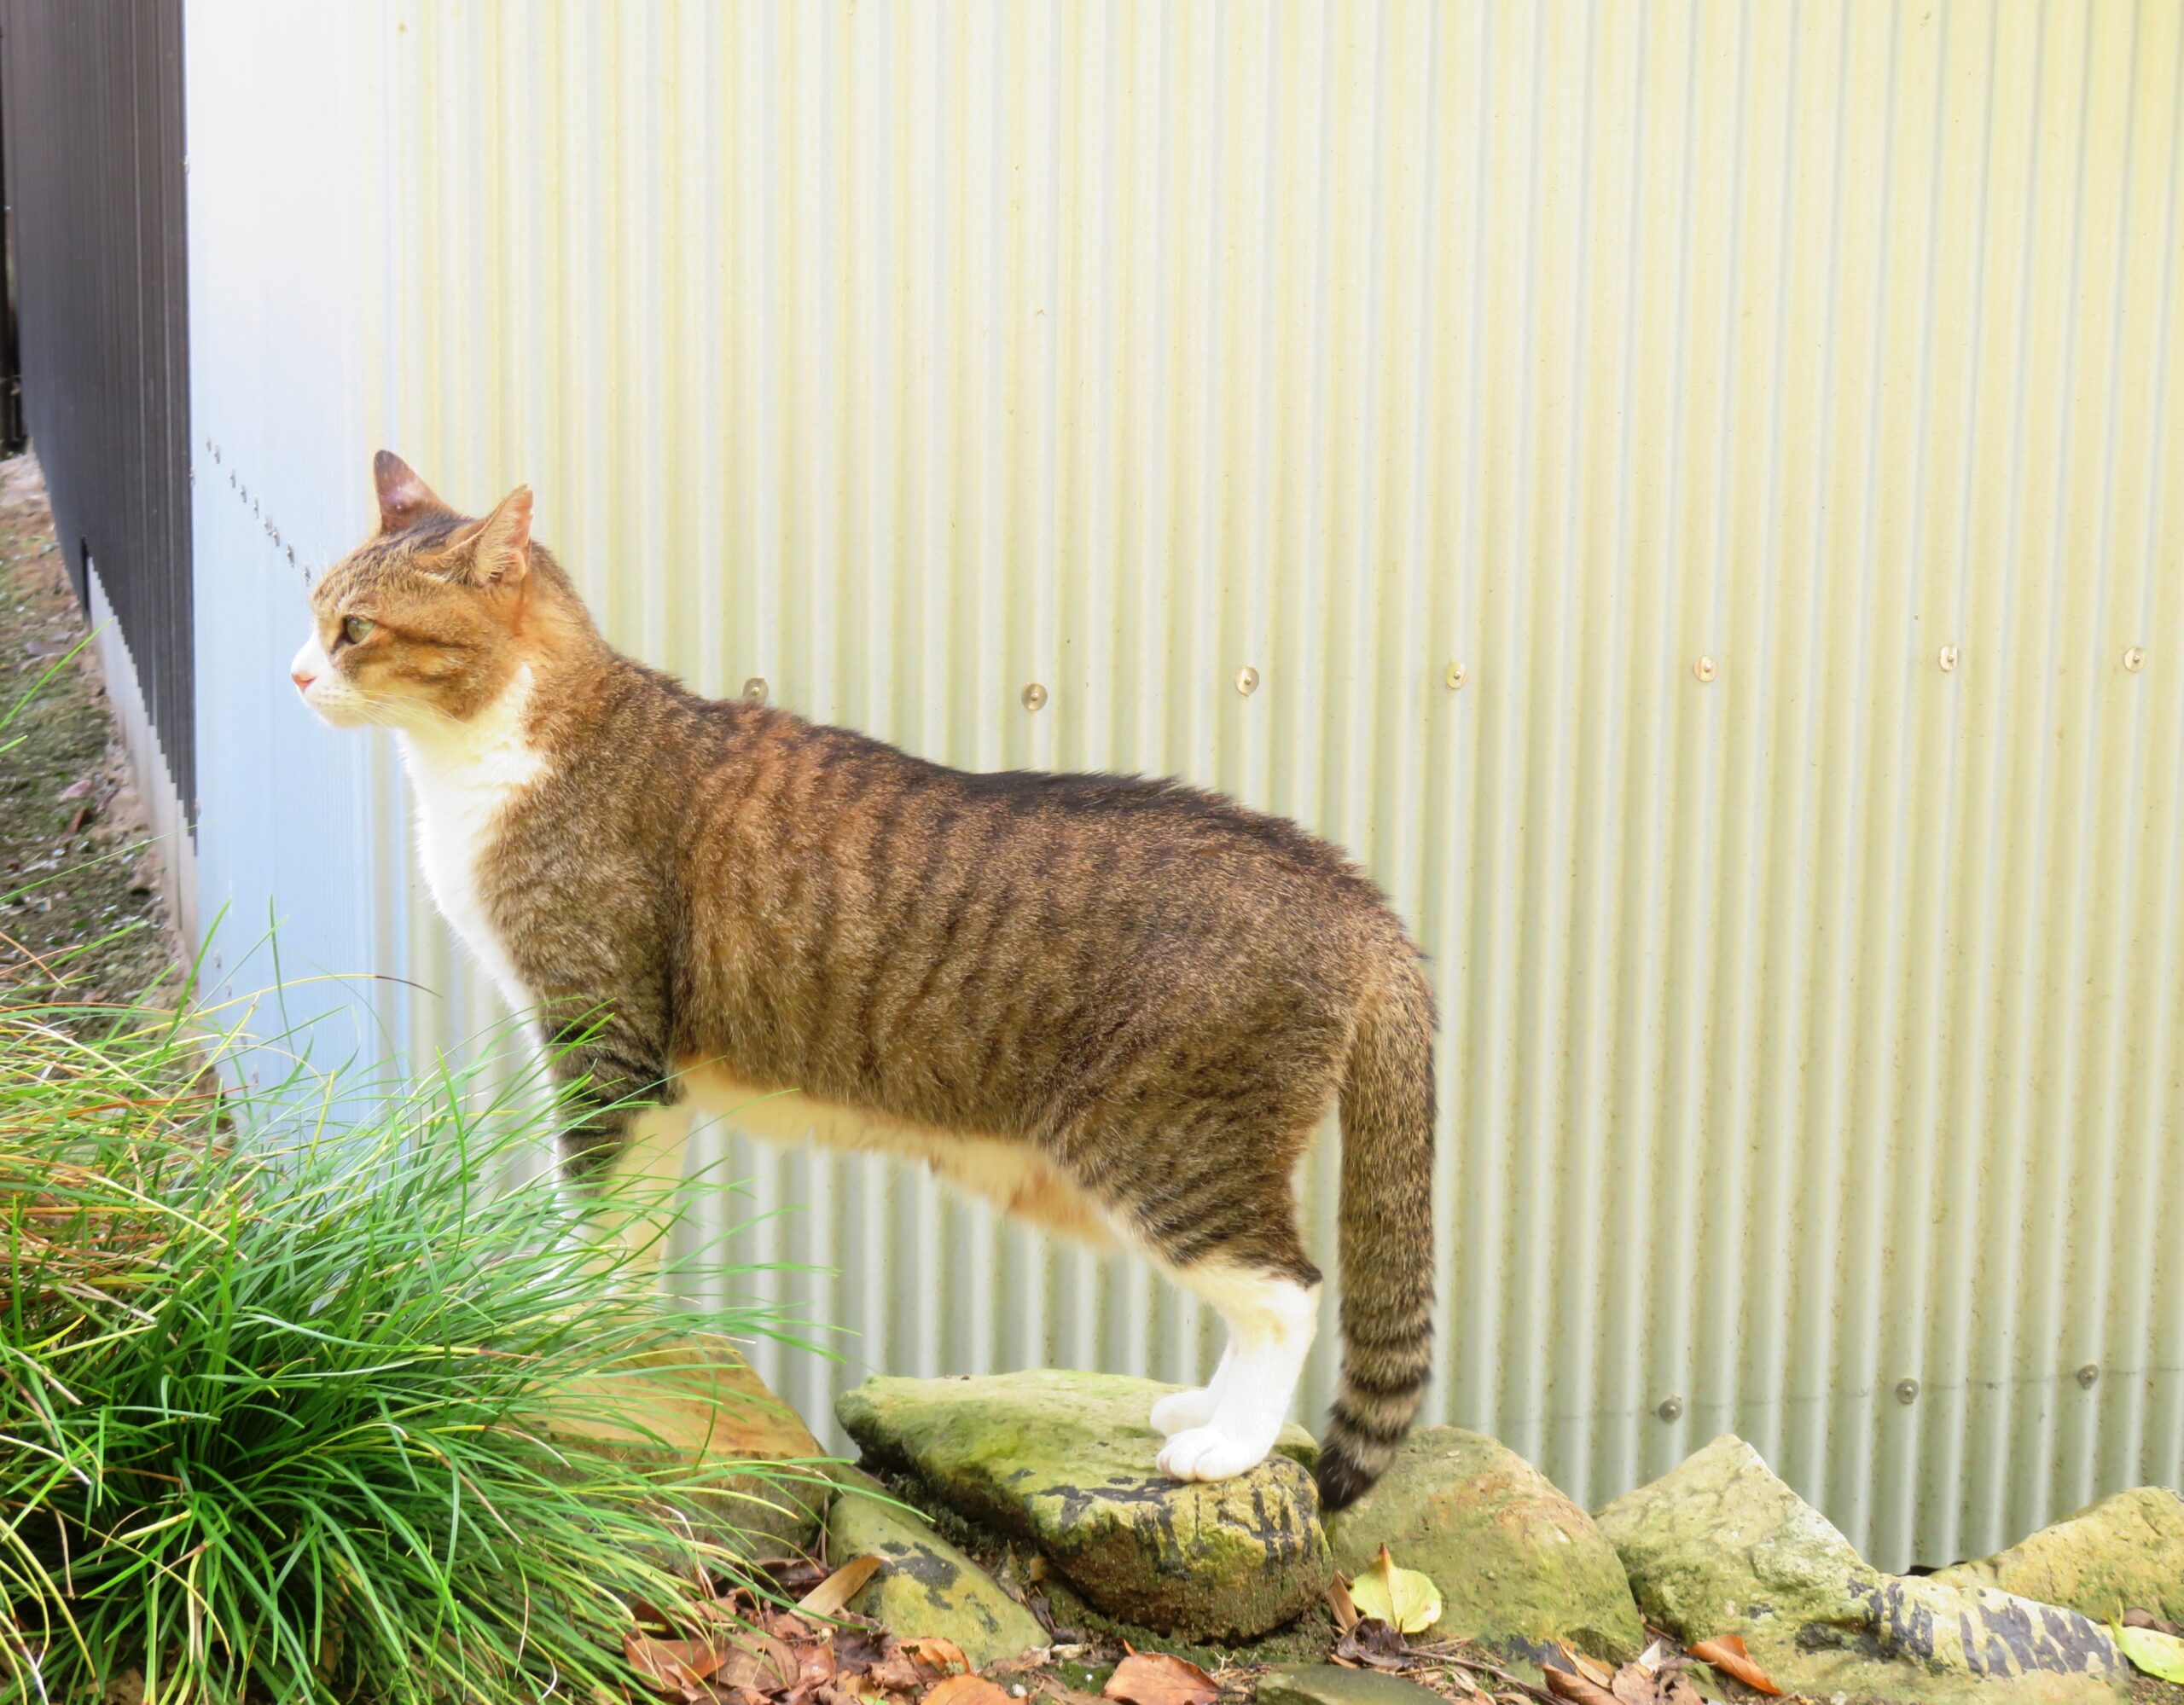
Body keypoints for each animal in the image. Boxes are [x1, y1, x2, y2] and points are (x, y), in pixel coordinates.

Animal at [294, 451, 1449, 1501]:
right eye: (314, 614)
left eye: (356, 629)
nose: (298, 674)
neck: (504, 743)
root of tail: (1350, 892)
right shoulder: (651, 1077)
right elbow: (633, 1222)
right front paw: (612, 1327)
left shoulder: (599, 1038)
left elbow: (581, 1201)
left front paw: (556, 1318)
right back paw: (1201, 1407)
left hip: (1167, 1145)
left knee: (1287, 1291)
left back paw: (1229, 1443)